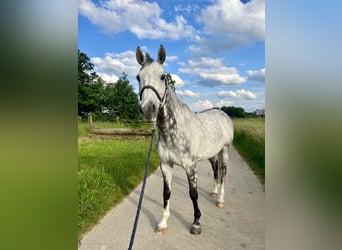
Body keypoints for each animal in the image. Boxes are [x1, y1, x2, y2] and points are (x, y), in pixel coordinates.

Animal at [135, 44, 234, 234]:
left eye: (163, 76)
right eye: (138, 77)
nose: (148, 109)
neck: (174, 132)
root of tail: (222, 114)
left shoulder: (190, 166)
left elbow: (193, 194)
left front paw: (196, 223)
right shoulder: (166, 164)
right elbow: (166, 193)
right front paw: (163, 223)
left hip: (225, 150)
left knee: (224, 172)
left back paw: (220, 200)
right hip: (213, 154)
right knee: (216, 170)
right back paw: (214, 192)